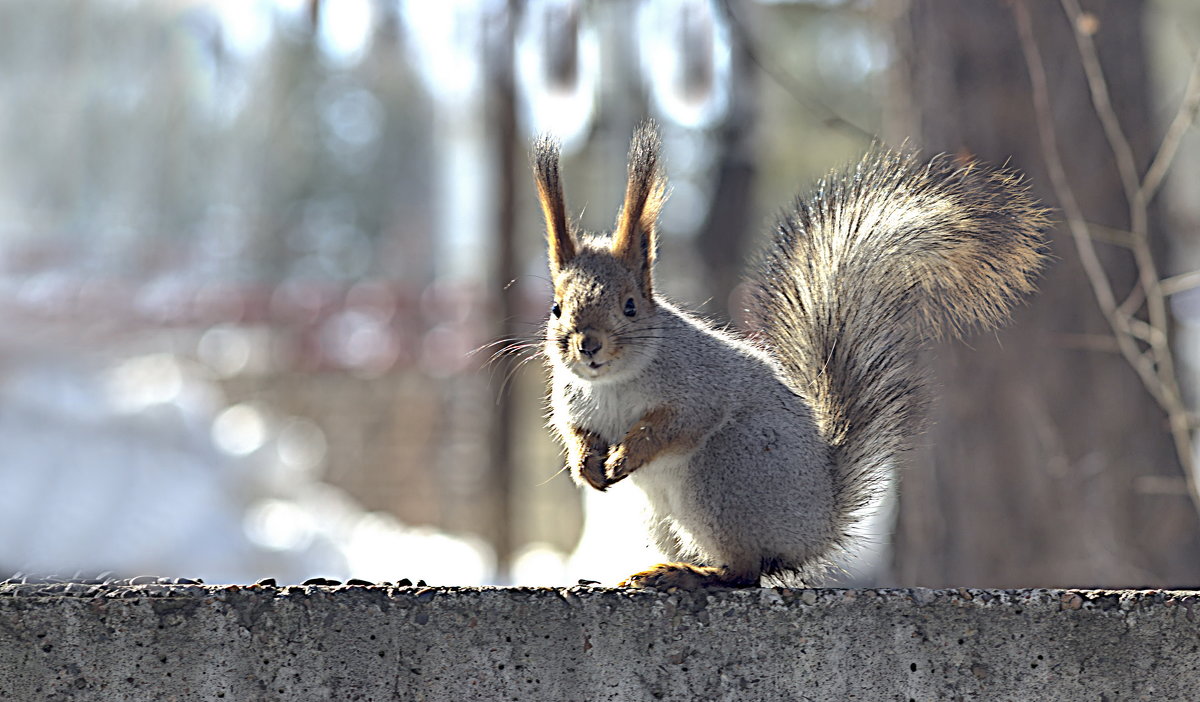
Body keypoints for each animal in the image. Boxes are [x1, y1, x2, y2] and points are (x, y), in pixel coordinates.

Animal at [535, 123, 1051, 588]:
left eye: (630, 305)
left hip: (724, 472)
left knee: (745, 571)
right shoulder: (572, 403)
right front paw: (587, 466)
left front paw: (625, 456)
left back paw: (688, 574)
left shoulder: (698, 386)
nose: (588, 344)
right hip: (659, 516)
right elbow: (577, 433)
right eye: (557, 307)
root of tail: (816, 528)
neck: (613, 383)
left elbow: (674, 425)